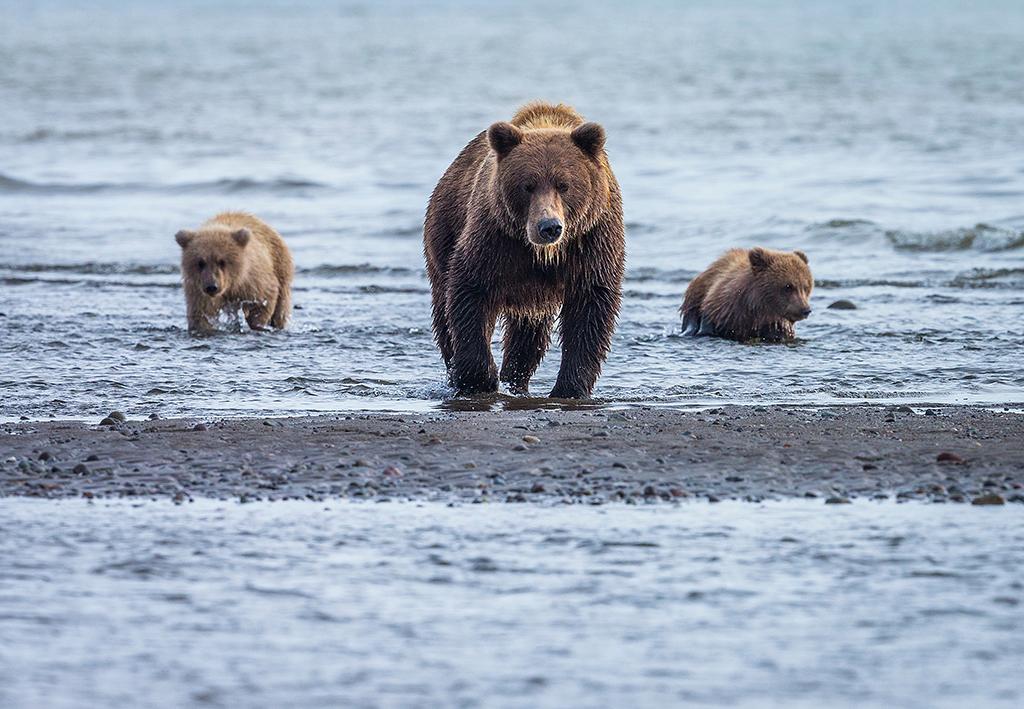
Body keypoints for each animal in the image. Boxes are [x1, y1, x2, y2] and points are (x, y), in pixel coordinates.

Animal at [421, 101, 622, 399]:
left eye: (564, 185)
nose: (549, 227)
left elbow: (590, 309)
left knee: (528, 334)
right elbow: (470, 292)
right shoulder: (495, 237)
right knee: (444, 313)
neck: (541, 253)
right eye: (528, 185)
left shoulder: (591, 241)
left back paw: (516, 378)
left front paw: (570, 388)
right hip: (443, 232)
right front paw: (479, 379)